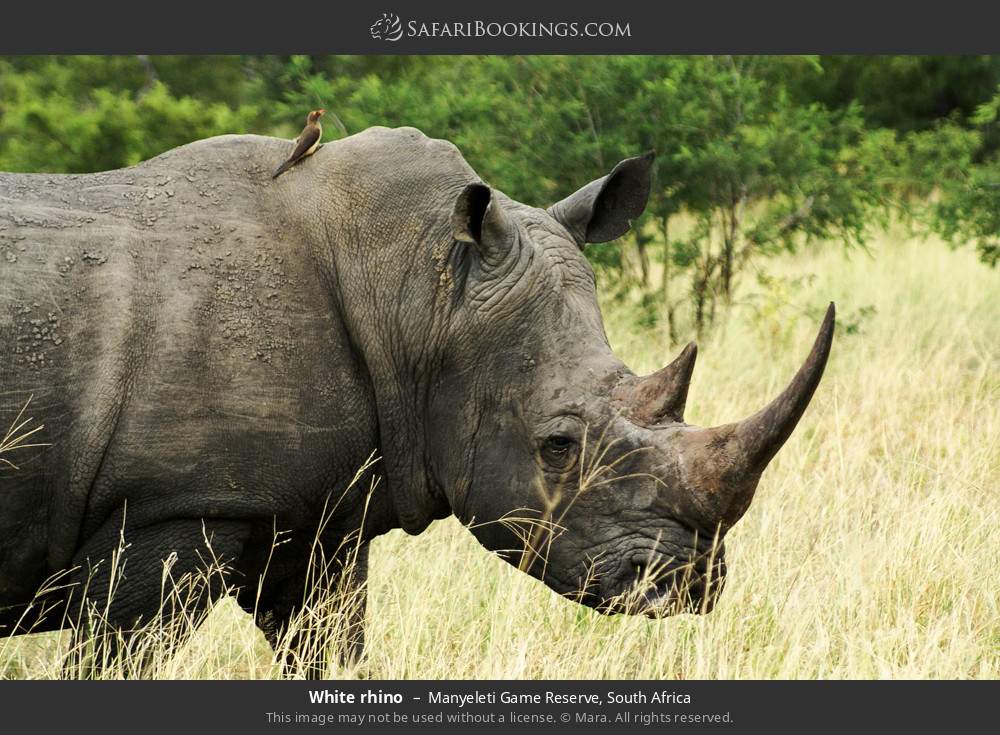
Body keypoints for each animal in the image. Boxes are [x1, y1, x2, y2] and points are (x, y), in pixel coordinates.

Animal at [0, 127, 833, 677]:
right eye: (558, 445)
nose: (687, 585)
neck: (416, 290)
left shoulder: (317, 518)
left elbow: (329, 648)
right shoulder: (170, 504)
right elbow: (114, 659)